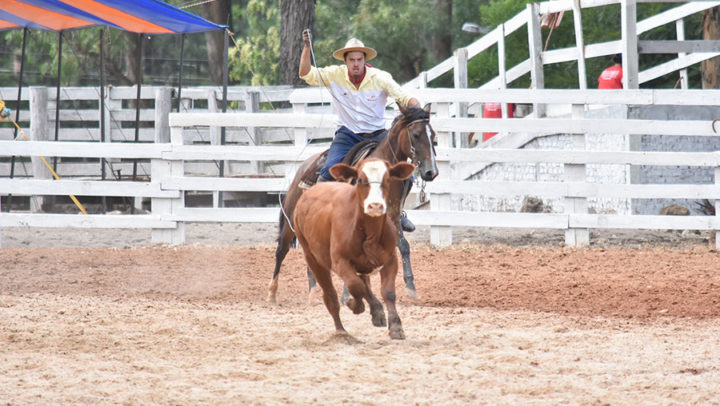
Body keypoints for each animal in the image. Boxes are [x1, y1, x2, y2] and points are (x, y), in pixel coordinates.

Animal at [268, 103, 438, 302]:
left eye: (433, 136)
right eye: (416, 134)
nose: (431, 172)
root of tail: (301, 169)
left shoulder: (393, 215)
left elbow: (403, 247)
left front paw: (410, 288)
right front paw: (348, 294)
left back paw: (314, 293)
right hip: (290, 221)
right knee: (281, 250)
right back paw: (272, 293)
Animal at [292, 159, 416, 340]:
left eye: (387, 179)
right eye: (360, 179)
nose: (375, 206)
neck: (369, 233)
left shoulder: (390, 260)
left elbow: (387, 292)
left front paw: (396, 327)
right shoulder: (339, 261)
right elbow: (355, 286)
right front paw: (354, 305)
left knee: (363, 282)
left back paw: (376, 312)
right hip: (313, 258)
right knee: (331, 295)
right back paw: (341, 330)